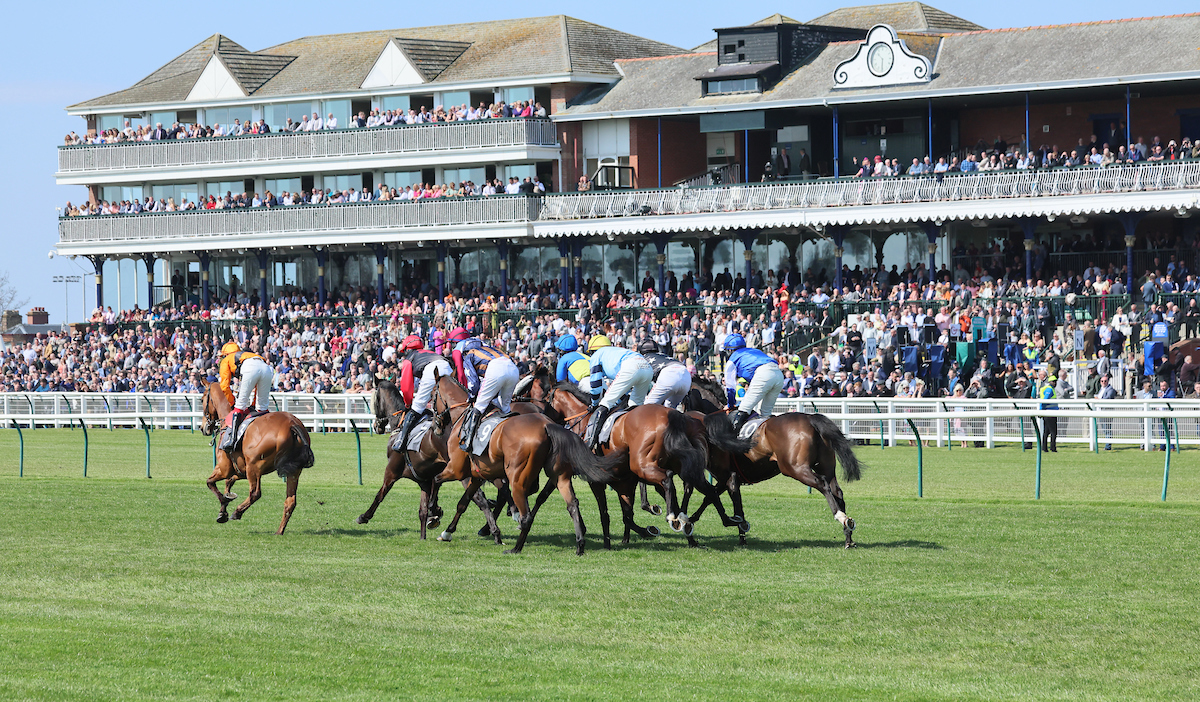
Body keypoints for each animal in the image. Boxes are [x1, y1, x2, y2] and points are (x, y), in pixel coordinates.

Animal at [200, 381, 314, 532]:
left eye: (202, 399)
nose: (203, 427)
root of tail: (292, 425)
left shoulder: (225, 468)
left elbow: (210, 482)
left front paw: (224, 509)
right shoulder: (240, 469)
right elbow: (228, 482)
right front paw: (226, 502)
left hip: (254, 467)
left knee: (255, 493)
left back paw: (238, 512)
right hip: (293, 470)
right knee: (290, 501)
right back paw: (279, 532)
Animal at [424, 369, 628, 556]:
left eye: (432, 394)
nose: (435, 426)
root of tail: (547, 425)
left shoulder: (456, 469)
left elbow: (436, 479)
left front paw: (433, 513)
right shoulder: (476, 475)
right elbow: (464, 502)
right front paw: (448, 532)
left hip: (517, 478)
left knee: (526, 513)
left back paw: (515, 547)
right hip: (559, 476)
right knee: (572, 504)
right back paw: (580, 544)